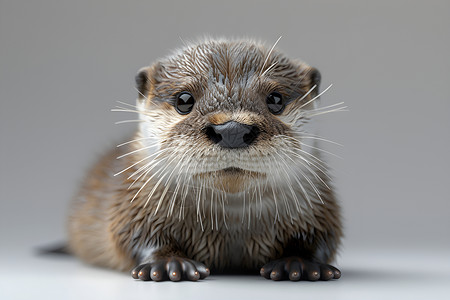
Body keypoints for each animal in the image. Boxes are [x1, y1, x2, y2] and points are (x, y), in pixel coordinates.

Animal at [67, 38, 342, 282]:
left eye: (276, 99)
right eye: (184, 100)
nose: (232, 130)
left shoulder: (317, 206)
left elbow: (322, 236)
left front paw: (299, 263)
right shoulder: (133, 201)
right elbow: (132, 234)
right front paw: (168, 263)